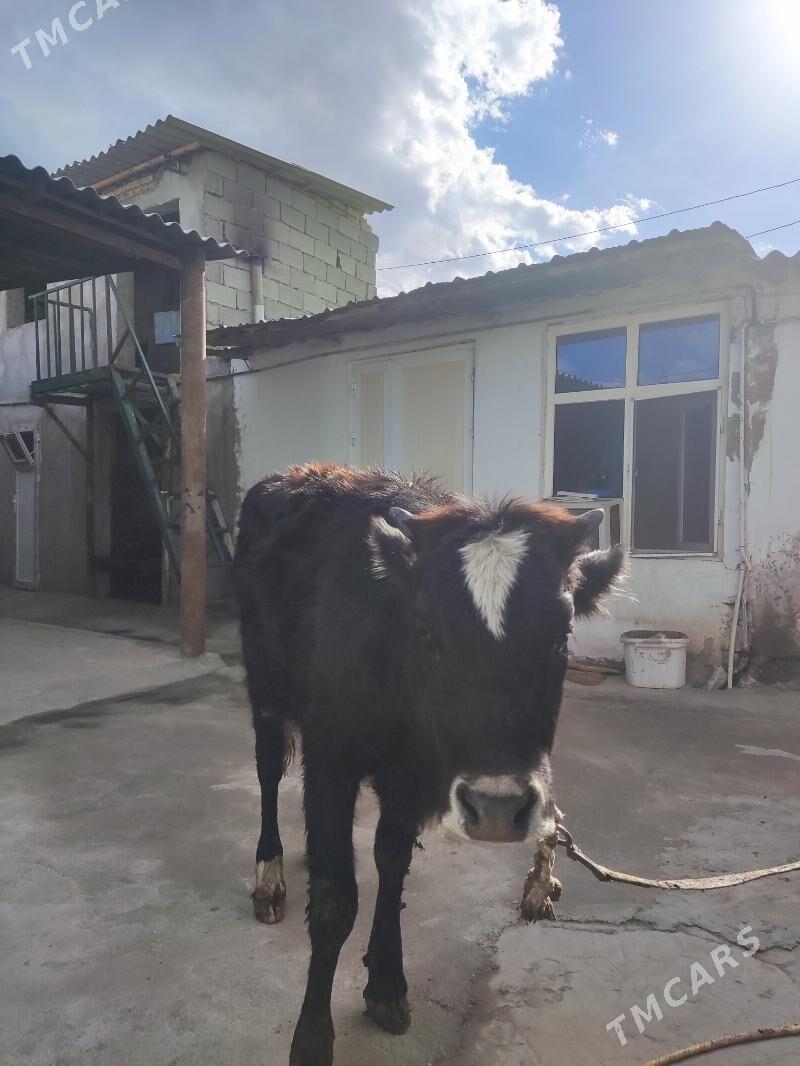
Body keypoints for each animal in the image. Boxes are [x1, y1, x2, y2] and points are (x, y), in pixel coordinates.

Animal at [234, 463, 624, 1066]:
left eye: (560, 638)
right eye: (428, 633)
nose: (497, 808)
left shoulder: (409, 777)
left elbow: (391, 866)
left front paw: (386, 985)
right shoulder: (332, 756)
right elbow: (335, 903)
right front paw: (312, 1038)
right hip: (265, 688)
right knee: (270, 773)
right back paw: (270, 878)